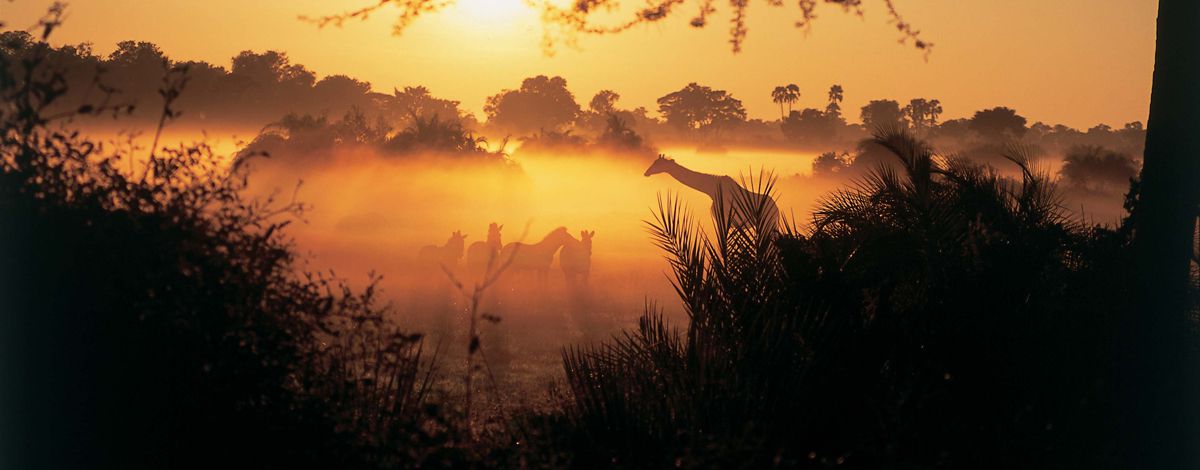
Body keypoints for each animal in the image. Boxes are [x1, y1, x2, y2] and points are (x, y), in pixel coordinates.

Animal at [648, 153, 777, 232]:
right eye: (654, 162)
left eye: (657, 163)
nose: (646, 173)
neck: (711, 190)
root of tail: (776, 208)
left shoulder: (727, 221)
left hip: (769, 224)